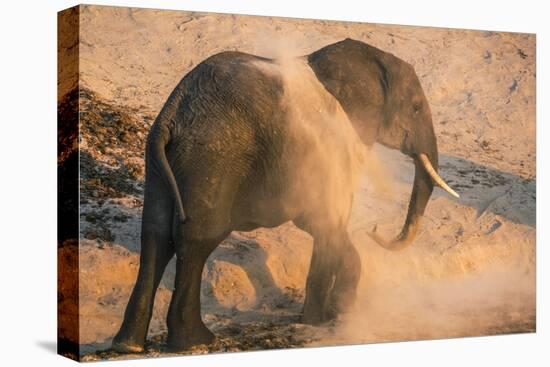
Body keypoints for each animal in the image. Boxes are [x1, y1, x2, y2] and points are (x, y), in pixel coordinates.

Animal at [110, 38, 460, 354]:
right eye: (415, 107)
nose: (376, 231)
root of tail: (172, 113)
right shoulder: (332, 146)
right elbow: (326, 222)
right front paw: (335, 316)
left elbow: (323, 226)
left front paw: (318, 319)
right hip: (214, 155)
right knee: (195, 239)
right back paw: (197, 341)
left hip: (162, 161)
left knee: (155, 236)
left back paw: (129, 345)